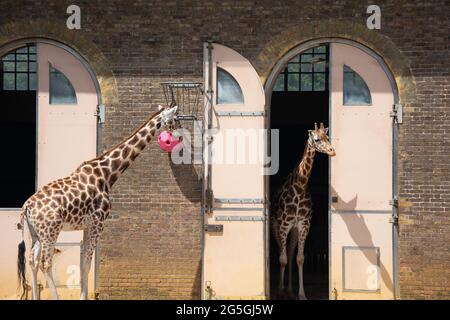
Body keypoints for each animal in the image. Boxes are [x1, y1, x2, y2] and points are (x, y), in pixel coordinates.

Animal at [17, 105, 179, 300]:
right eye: (175, 119)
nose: (179, 135)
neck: (107, 175)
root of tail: (27, 206)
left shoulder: (87, 225)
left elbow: (84, 264)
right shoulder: (98, 223)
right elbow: (87, 263)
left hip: (35, 233)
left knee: (32, 261)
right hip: (50, 231)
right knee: (45, 263)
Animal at [270, 122, 334, 300]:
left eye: (328, 137)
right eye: (317, 139)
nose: (332, 151)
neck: (300, 186)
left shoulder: (304, 225)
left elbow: (299, 258)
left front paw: (301, 294)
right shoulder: (284, 225)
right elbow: (282, 259)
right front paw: (279, 292)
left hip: (293, 230)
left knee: (290, 252)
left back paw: (289, 289)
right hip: (276, 227)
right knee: (282, 251)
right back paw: (282, 288)